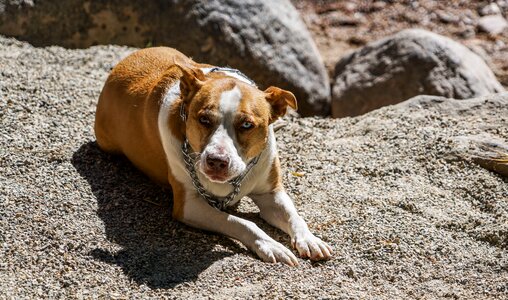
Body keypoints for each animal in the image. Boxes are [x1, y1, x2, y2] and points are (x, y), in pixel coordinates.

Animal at [94, 47, 334, 264]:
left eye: (247, 125)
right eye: (204, 120)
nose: (217, 161)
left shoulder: (271, 193)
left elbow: (294, 215)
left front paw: (309, 239)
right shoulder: (190, 206)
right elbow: (241, 222)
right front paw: (270, 244)